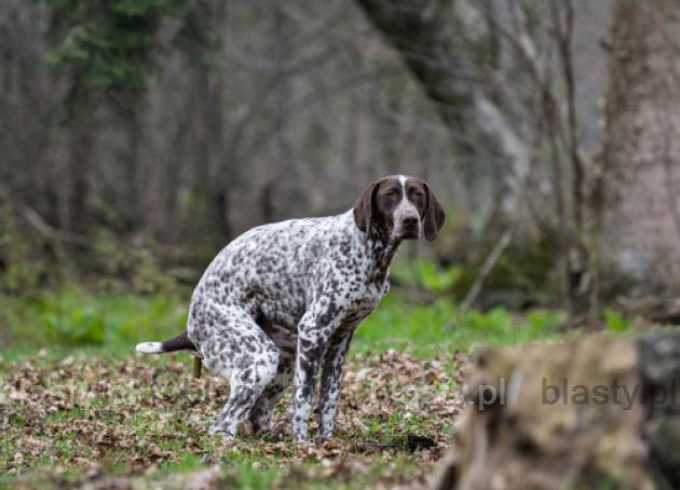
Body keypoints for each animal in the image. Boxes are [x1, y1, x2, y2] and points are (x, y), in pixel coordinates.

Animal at [137, 175, 446, 440]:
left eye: (417, 195)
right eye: (389, 195)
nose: (409, 220)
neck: (368, 249)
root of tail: (191, 321)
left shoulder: (339, 342)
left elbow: (328, 401)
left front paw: (326, 443)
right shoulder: (313, 331)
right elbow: (304, 399)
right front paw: (303, 445)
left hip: (283, 360)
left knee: (257, 414)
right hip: (259, 358)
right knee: (223, 424)